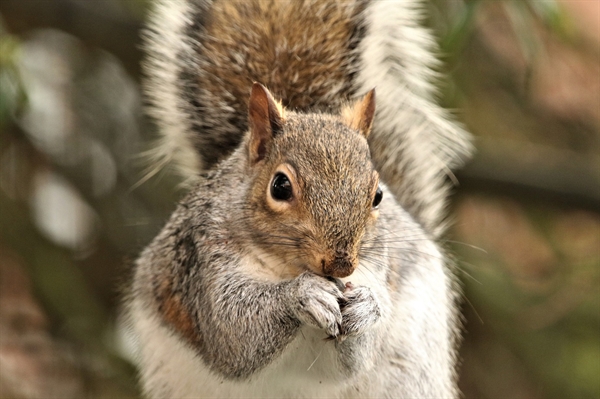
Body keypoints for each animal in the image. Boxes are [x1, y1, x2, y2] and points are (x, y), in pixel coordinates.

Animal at [126, 0, 474, 399]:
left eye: (377, 195)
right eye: (279, 187)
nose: (341, 265)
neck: (288, 267)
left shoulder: (376, 268)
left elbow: (350, 362)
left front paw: (366, 308)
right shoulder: (203, 263)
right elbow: (233, 333)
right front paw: (302, 294)